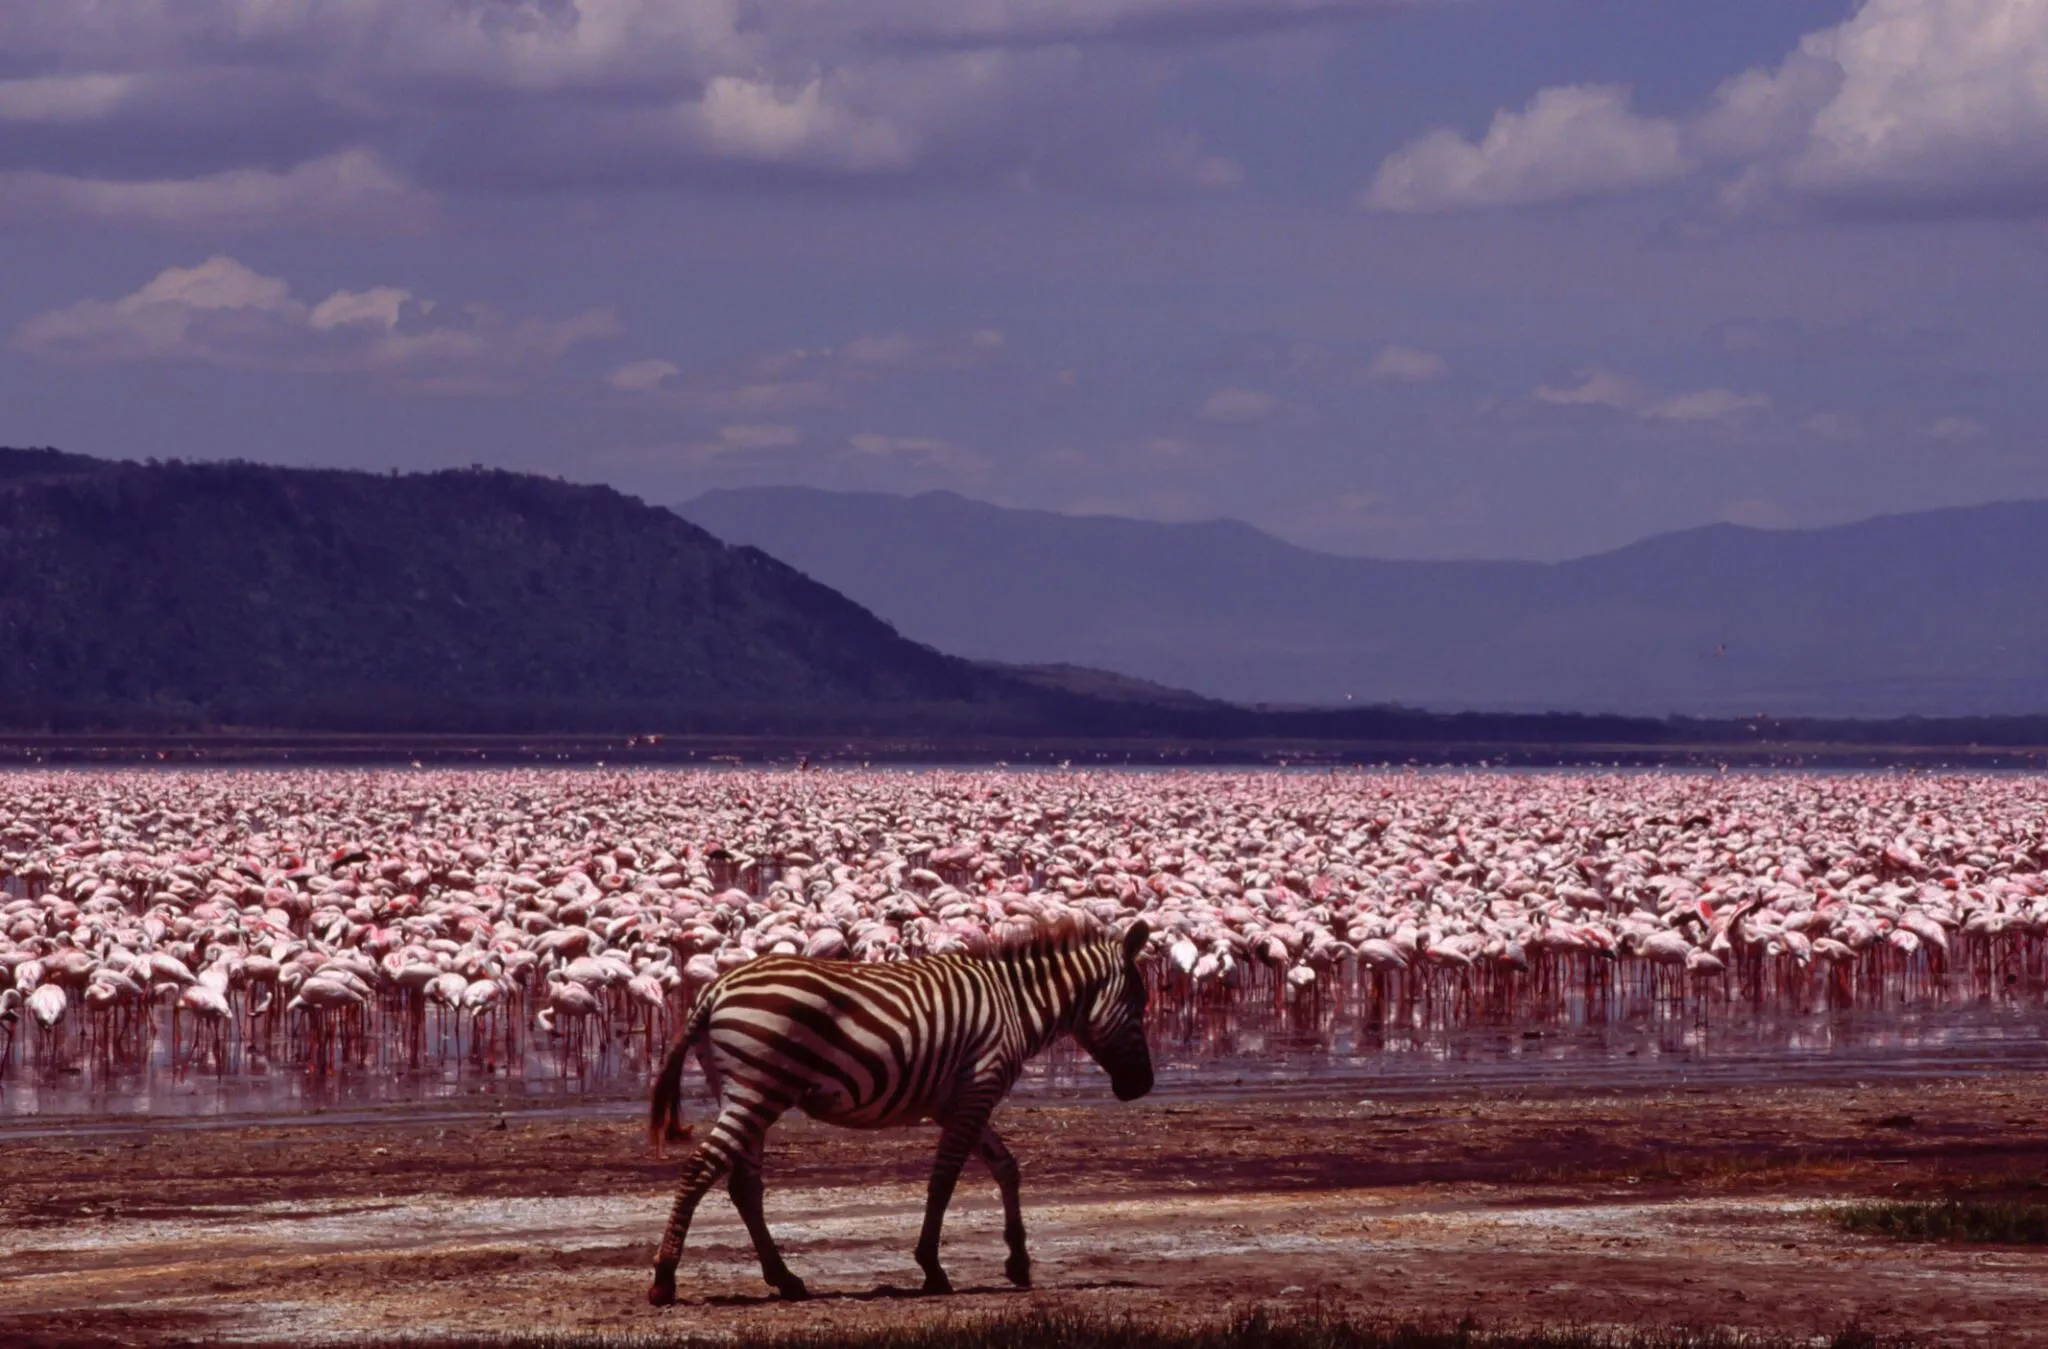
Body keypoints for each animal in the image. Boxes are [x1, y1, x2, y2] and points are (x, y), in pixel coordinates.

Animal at [643, 912, 1155, 1301]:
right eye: (1139, 1006)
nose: (1144, 1086)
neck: (1015, 1003)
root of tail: (715, 990)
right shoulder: (978, 1089)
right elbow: (944, 1181)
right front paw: (932, 1267)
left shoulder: (959, 1101)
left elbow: (1006, 1168)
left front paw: (1018, 1262)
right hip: (756, 1090)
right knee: (701, 1169)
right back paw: (664, 1279)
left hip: (748, 1092)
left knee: (744, 1186)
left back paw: (785, 1279)